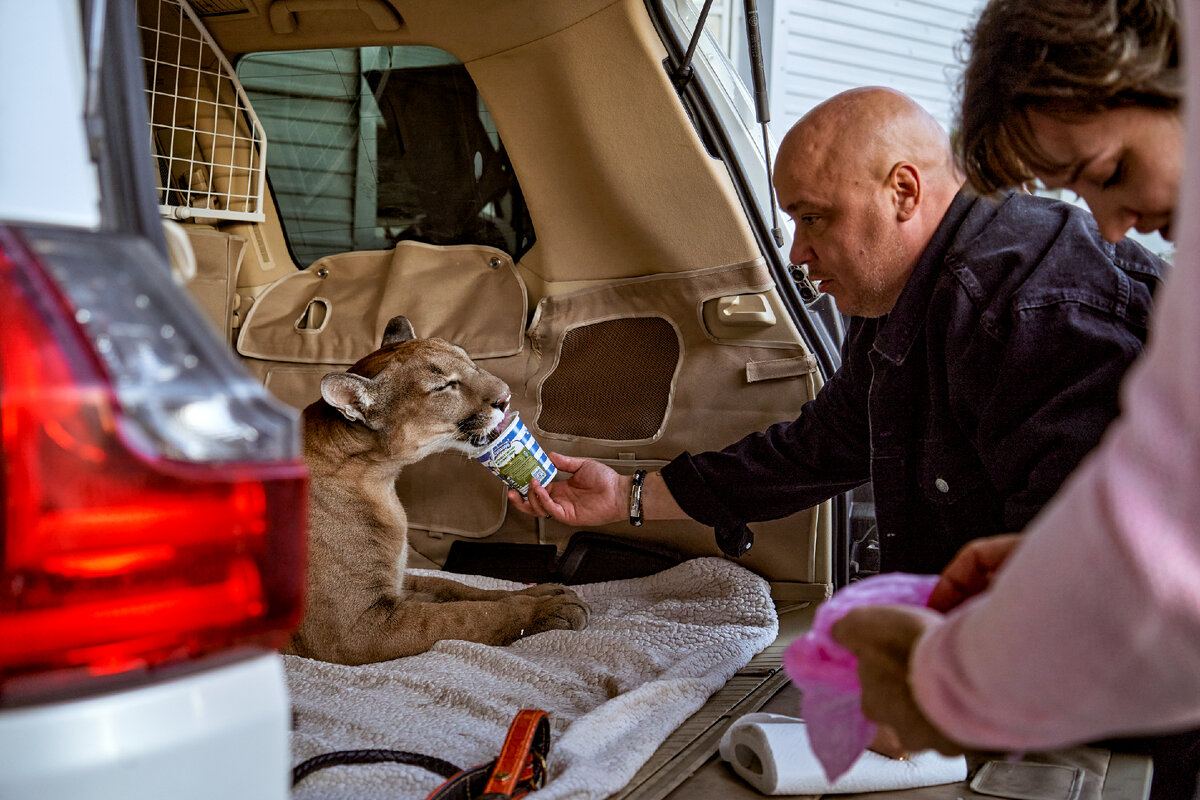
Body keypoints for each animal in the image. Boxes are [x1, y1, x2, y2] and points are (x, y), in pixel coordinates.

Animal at [288, 316, 592, 666]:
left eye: (469, 360)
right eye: (443, 387)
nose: (506, 397)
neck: (380, 478)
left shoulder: (398, 583)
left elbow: (460, 589)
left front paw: (540, 591)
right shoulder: (356, 630)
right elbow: (466, 616)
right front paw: (545, 608)